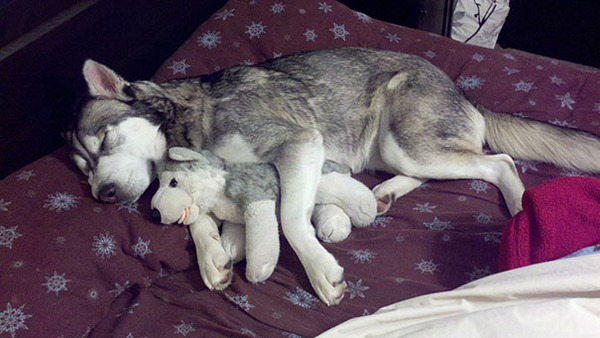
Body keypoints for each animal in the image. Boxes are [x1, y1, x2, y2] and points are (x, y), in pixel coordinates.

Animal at [70, 46, 600, 306]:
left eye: (105, 142)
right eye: (84, 168)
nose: (103, 194)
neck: (187, 119)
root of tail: (463, 92)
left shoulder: (300, 144)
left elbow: (289, 218)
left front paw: (319, 270)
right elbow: (199, 218)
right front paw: (214, 257)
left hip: (407, 139)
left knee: (500, 162)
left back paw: (522, 216)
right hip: (395, 151)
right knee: (435, 171)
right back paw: (385, 194)